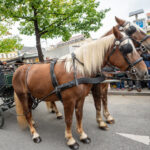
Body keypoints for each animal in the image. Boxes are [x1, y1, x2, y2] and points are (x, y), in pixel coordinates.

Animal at [12, 27, 148, 150]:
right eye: (127, 49)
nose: (144, 72)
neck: (77, 70)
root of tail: (19, 69)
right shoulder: (69, 101)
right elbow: (69, 119)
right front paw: (70, 140)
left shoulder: (81, 98)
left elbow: (79, 115)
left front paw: (82, 135)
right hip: (23, 96)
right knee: (27, 113)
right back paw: (35, 134)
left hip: (31, 96)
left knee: (30, 111)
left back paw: (34, 123)